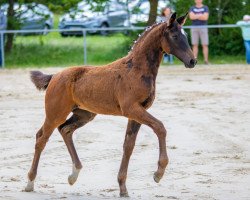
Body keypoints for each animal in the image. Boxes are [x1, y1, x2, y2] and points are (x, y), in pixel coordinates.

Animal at [24, 12, 196, 197]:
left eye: (185, 35)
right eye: (175, 36)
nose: (192, 61)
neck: (136, 69)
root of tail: (54, 76)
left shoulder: (137, 112)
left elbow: (129, 145)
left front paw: (123, 188)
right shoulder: (132, 109)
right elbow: (160, 127)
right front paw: (158, 173)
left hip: (84, 114)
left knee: (65, 130)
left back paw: (73, 174)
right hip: (56, 113)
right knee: (41, 138)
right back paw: (30, 182)